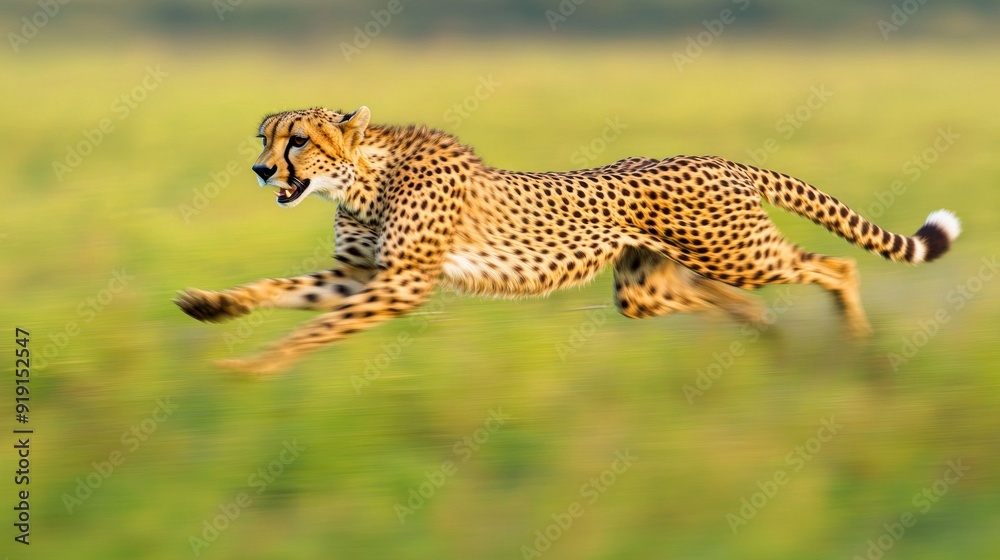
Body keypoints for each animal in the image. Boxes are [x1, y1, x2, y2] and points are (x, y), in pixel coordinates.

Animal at [175, 106, 961, 374]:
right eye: (265, 138)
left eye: (297, 141)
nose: (260, 169)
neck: (363, 176)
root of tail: (726, 159)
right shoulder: (362, 277)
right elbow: (279, 290)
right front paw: (214, 308)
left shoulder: (400, 284)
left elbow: (313, 330)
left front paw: (254, 366)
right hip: (644, 286)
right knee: (726, 299)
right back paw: (765, 331)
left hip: (738, 251)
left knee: (832, 264)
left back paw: (857, 343)